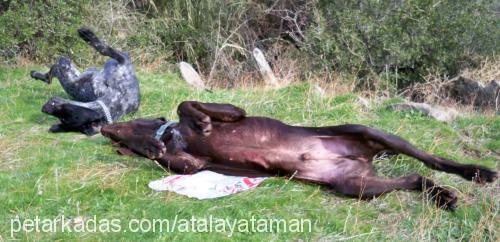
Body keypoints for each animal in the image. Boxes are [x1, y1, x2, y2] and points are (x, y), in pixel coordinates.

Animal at [100, 100, 496, 210]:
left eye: (125, 121)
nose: (102, 128)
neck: (170, 137)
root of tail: (361, 161)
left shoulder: (226, 113)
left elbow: (188, 104)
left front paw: (206, 118)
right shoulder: (191, 165)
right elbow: (175, 157)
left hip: (371, 133)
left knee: (433, 161)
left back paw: (477, 173)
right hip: (357, 186)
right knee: (414, 178)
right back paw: (442, 196)